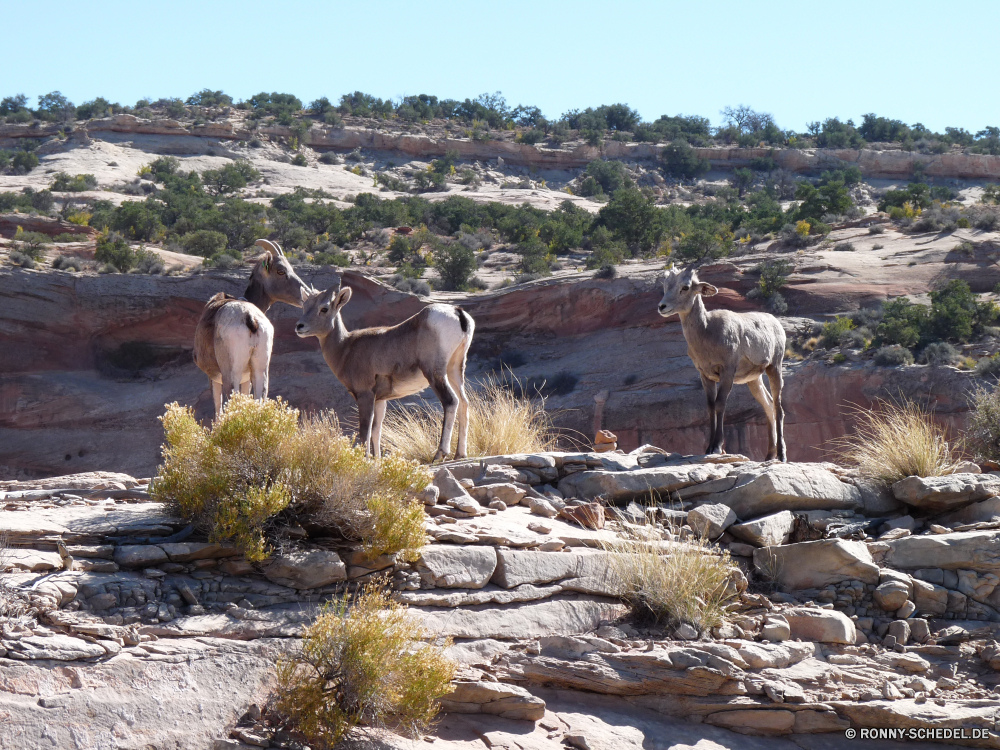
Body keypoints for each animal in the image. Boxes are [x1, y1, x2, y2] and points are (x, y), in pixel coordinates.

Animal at [191, 239, 308, 418]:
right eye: (281, 271)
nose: (306, 294)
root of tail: (250, 317)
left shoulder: (215, 378)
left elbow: (218, 412)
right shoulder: (247, 378)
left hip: (232, 375)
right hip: (260, 371)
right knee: (260, 399)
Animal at [294, 280, 474, 462]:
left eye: (324, 308)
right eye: (305, 306)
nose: (299, 327)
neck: (345, 347)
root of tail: (458, 313)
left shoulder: (365, 395)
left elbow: (365, 431)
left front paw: (365, 459)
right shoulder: (380, 400)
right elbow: (376, 431)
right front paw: (377, 460)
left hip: (435, 373)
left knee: (451, 401)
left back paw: (439, 454)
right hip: (455, 370)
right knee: (464, 402)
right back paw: (460, 454)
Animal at [656, 264, 788, 464]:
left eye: (685, 287)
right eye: (665, 285)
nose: (662, 307)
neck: (707, 331)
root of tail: (777, 325)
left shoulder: (727, 371)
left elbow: (720, 404)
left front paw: (717, 447)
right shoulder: (705, 375)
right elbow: (710, 407)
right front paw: (708, 448)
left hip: (774, 367)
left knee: (778, 407)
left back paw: (781, 455)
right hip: (753, 380)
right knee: (768, 405)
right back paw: (769, 456)